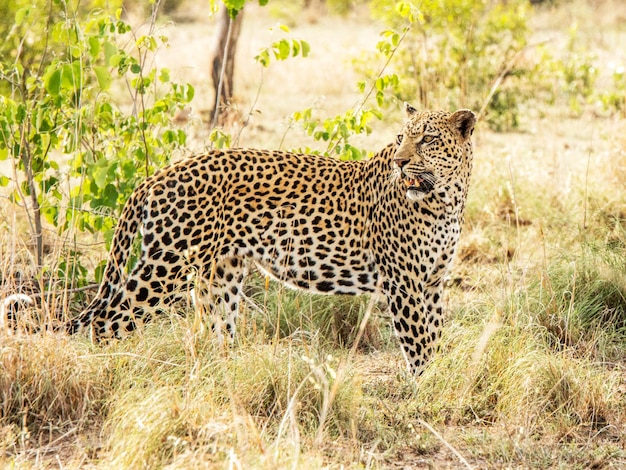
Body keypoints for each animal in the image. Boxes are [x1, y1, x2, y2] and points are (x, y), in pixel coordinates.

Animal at [66, 104, 472, 376]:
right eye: (402, 138)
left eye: (428, 139)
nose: (400, 163)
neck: (446, 199)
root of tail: (157, 175)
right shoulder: (403, 282)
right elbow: (419, 342)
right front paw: (423, 390)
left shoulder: (433, 282)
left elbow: (433, 335)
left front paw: (435, 381)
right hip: (165, 267)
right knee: (105, 323)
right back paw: (114, 374)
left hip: (220, 274)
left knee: (216, 331)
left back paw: (225, 379)